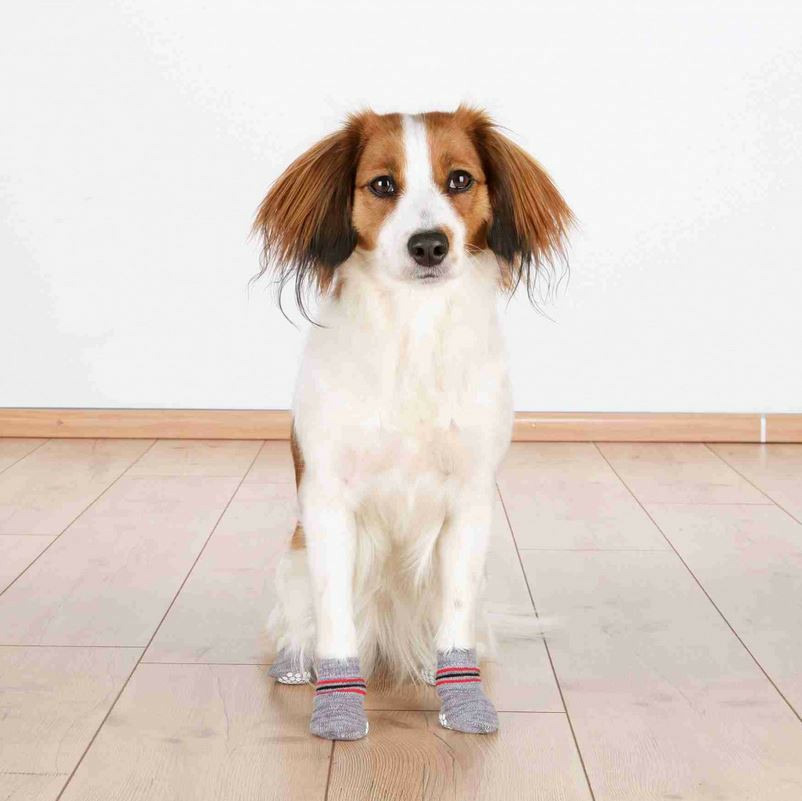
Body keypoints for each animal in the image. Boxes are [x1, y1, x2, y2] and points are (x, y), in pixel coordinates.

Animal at [254, 107, 571, 740]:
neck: (413, 333)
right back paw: (295, 664)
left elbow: (455, 618)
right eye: (382, 184)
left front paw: (463, 701)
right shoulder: (328, 503)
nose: (429, 245)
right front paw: (337, 708)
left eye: (460, 180)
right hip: (293, 563)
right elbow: (335, 619)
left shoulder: (469, 500)